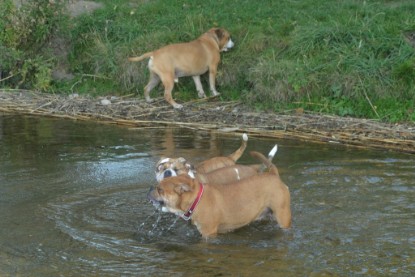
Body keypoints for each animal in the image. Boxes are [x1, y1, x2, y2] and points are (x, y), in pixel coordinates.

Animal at [148, 149, 290, 237]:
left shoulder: (208, 233)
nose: (150, 189)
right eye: (159, 168)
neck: (197, 198)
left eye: (160, 189)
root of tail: (273, 174)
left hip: (283, 216)